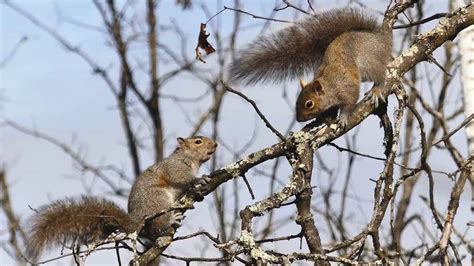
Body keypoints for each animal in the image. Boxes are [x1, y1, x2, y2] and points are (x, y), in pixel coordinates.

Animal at [25, 137, 218, 262]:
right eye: (198, 141)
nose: (215, 144)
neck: (192, 160)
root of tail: (136, 222)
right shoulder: (175, 166)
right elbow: (181, 177)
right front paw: (199, 180)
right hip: (157, 198)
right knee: (157, 227)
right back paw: (171, 219)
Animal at [230, 7, 392, 125]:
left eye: (309, 104)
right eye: (297, 101)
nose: (299, 119)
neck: (330, 85)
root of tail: (379, 39)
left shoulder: (347, 89)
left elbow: (349, 104)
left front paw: (343, 117)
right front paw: (326, 115)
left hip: (369, 63)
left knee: (380, 75)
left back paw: (377, 89)